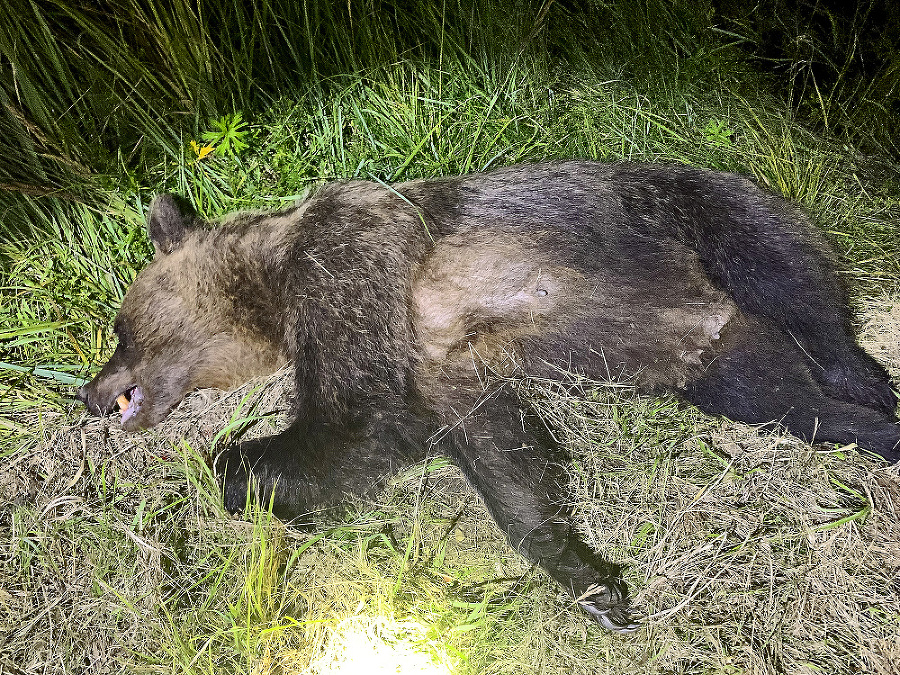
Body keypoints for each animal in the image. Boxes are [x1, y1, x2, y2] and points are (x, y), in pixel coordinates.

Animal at [79, 162, 900, 632]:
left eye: (120, 326)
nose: (89, 393)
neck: (270, 290)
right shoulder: (444, 360)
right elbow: (503, 453)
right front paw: (592, 581)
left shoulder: (349, 261)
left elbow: (359, 418)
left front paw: (234, 466)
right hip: (722, 357)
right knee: (789, 403)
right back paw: (874, 429)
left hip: (697, 212)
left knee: (799, 295)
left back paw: (866, 375)